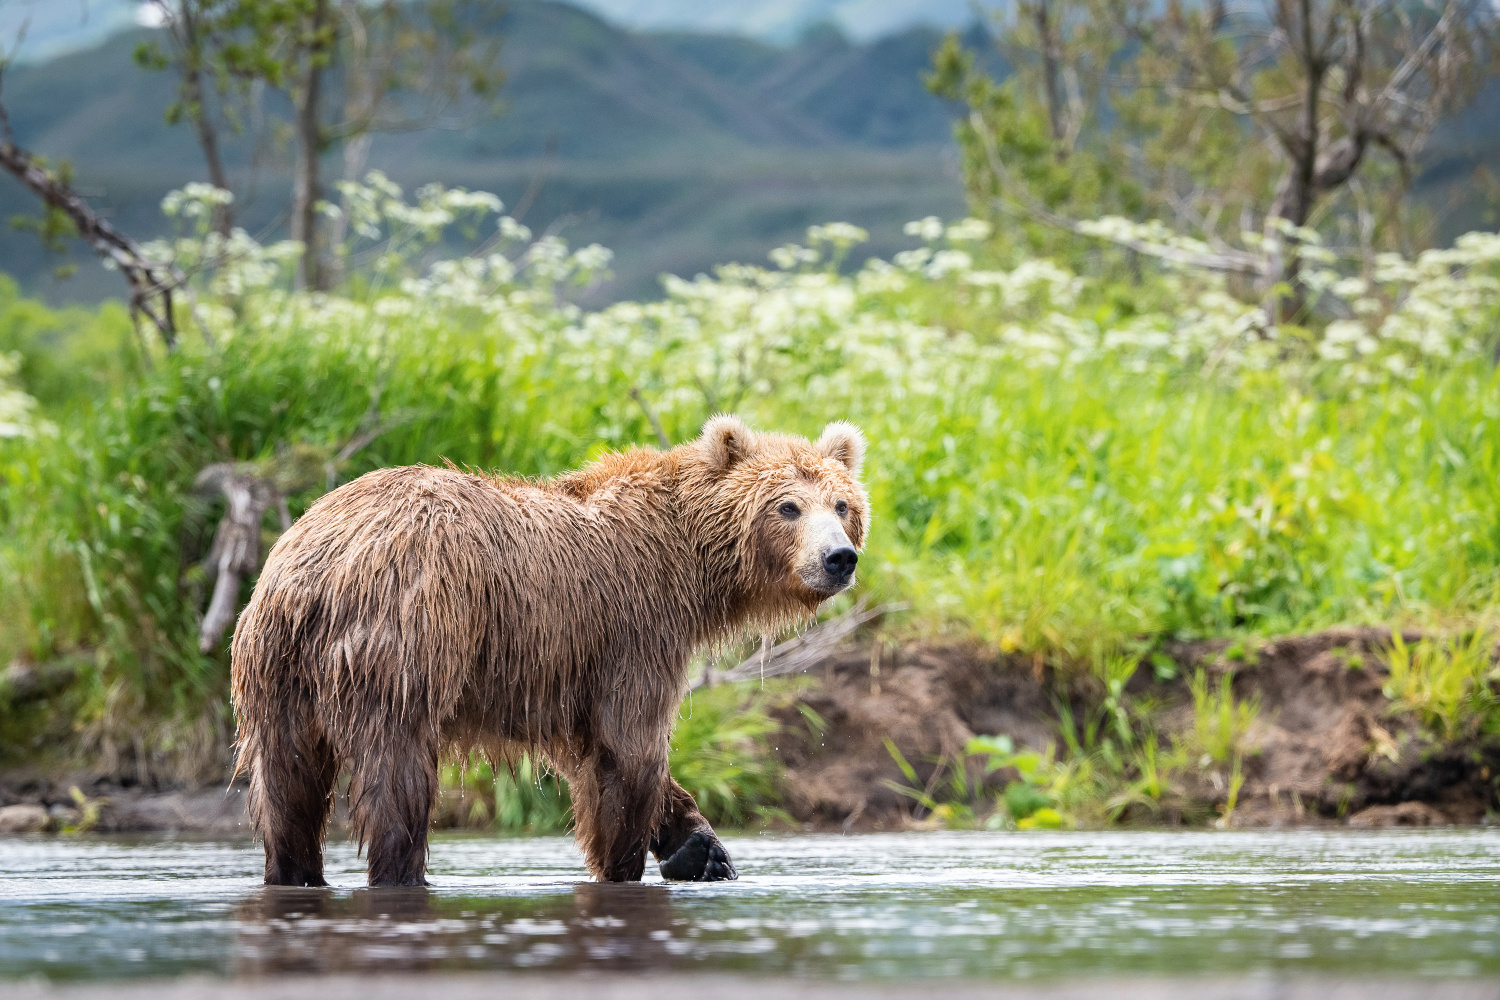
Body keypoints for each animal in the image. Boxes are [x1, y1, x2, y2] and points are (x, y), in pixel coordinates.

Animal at [232, 413, 870, 881]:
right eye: (787, 506)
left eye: (842, 505)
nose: (839, 557)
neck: (689, 564)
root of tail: (315, 565)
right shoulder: (634, 629)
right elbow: (629, 749)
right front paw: (626, 863)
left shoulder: (560, 669)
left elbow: (590, 744)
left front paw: (698, 845)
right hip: (401, 642)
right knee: (396, 781)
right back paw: (400, 872)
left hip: (275, 674)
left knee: (287, 789)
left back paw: (293, 872)